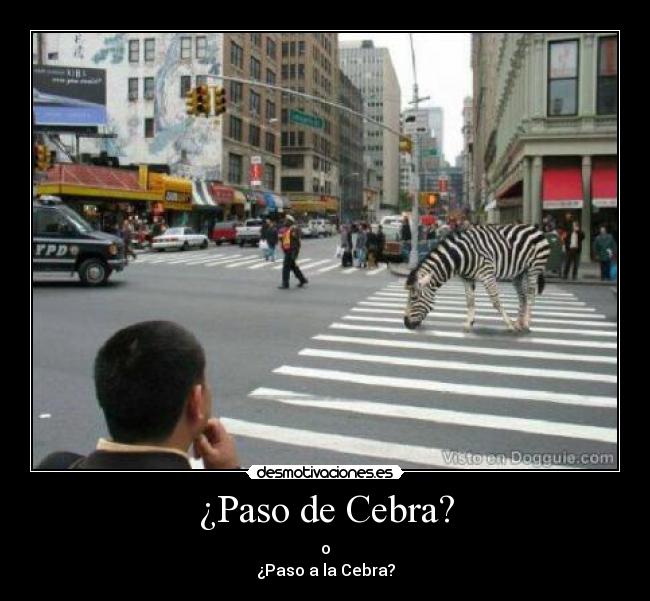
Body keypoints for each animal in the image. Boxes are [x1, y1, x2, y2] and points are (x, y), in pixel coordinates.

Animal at [398, 224, 551, 332]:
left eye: (414, 298)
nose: (406, 324)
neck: (459, 257)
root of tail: (534, 228)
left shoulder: (487, 274)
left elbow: (495, 301)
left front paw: (509, 324)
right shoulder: (467, 278)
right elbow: (470, 301)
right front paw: (468, 323)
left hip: (533, 269)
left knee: (530, 295)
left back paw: (526, 324)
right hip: (518, 274)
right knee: (522, 297)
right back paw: (520, 322)